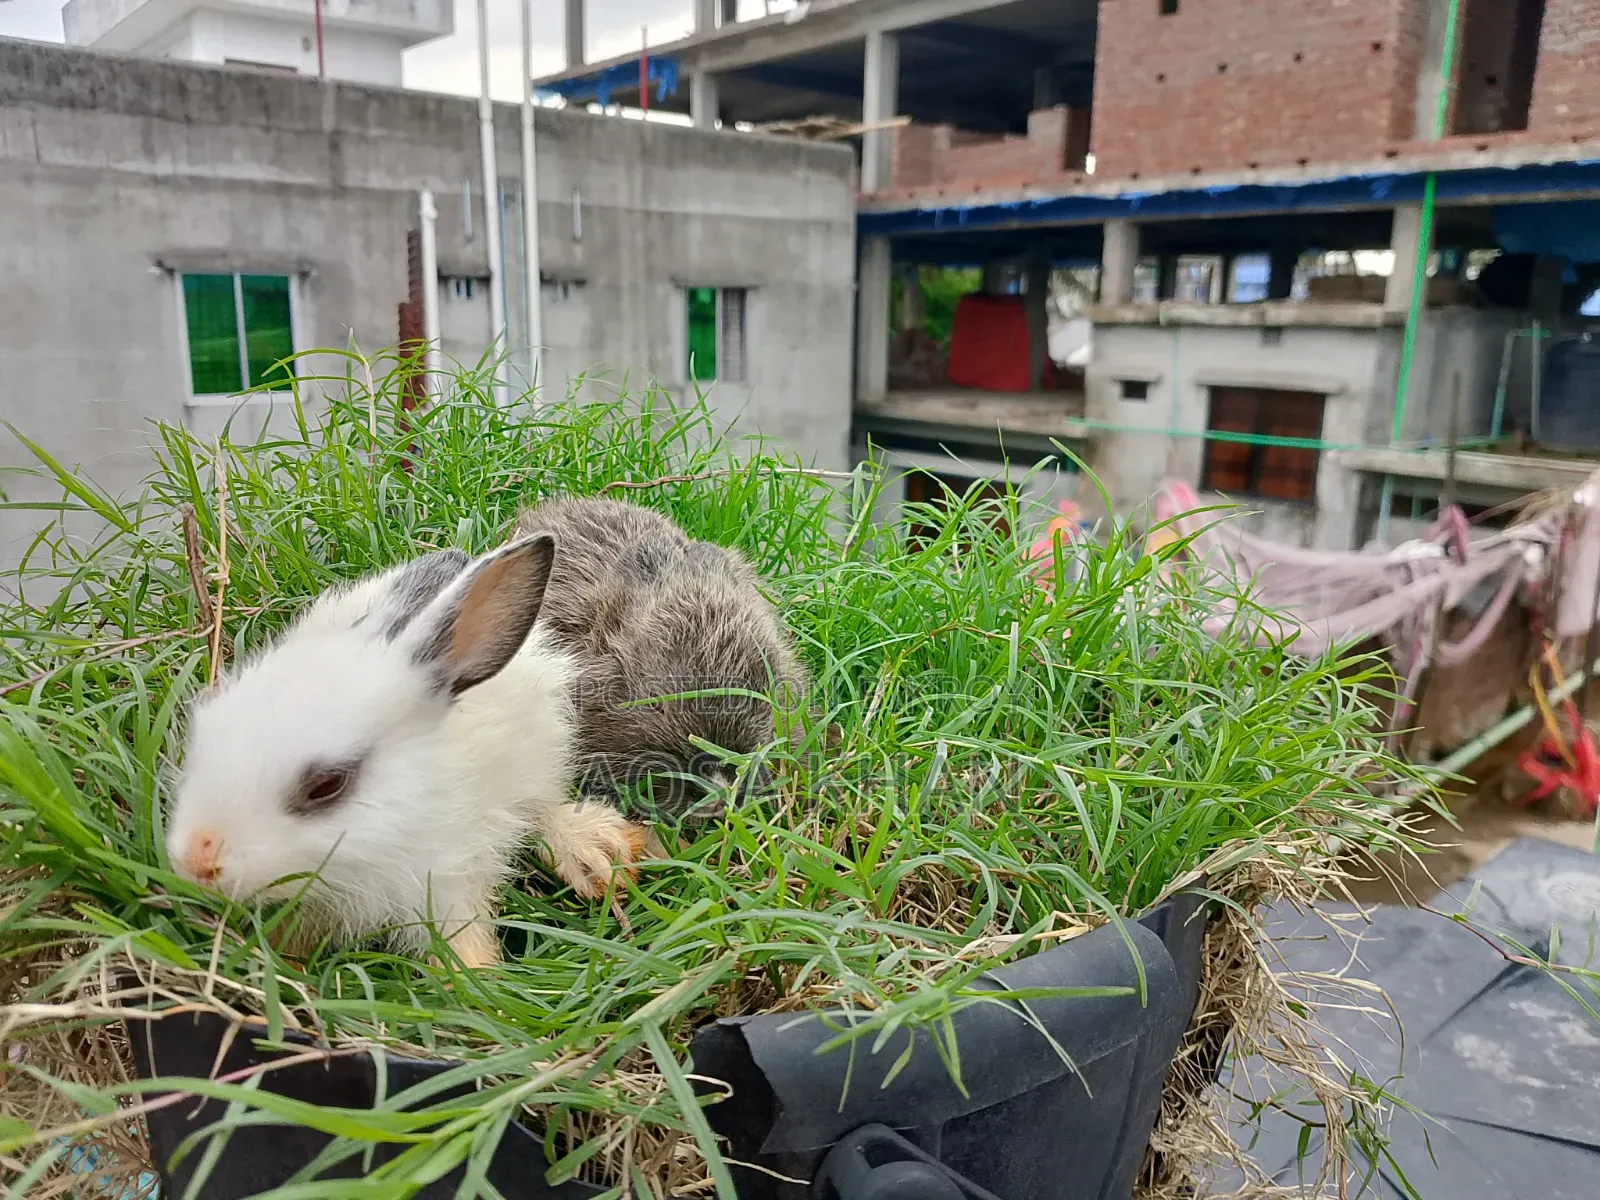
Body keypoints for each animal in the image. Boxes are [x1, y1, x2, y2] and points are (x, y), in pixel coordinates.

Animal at [166, 534, 647, 968]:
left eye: (326, 785)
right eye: (200, 736)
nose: (195, 861)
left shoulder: (447, 883)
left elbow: (462, 949)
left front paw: (477, 984)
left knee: (544, 809)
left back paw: (596, 854)